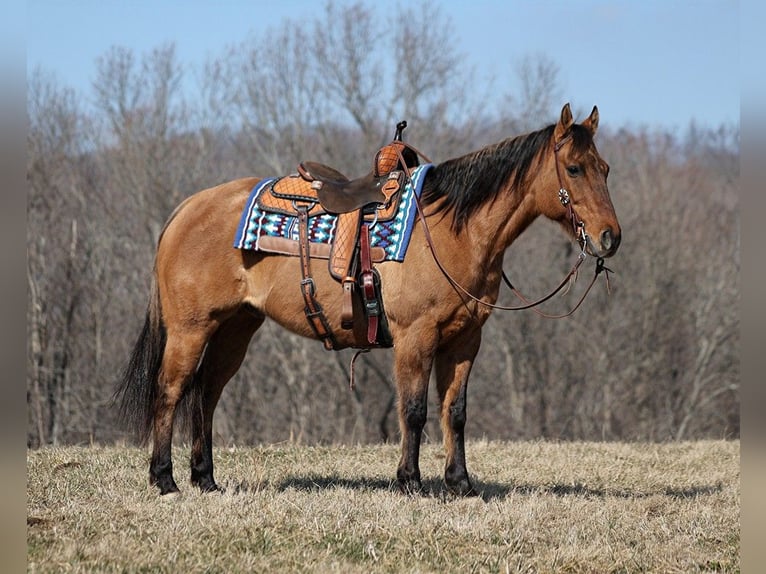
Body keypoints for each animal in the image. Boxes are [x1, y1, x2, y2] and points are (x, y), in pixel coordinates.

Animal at [115, 104, 624, 500]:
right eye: (574, 169)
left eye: (605, 168)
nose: (610, 237)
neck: (452, 230)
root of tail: (187, 208)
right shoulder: (415, 337)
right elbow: (414, 411)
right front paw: (410, 482)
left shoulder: (464, 342)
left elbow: (455, 413)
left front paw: (460, 484)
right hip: (191, 329)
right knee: (170, 390)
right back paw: (165, 481)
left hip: (234, 330)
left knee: (206, 394)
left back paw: (206, 479)